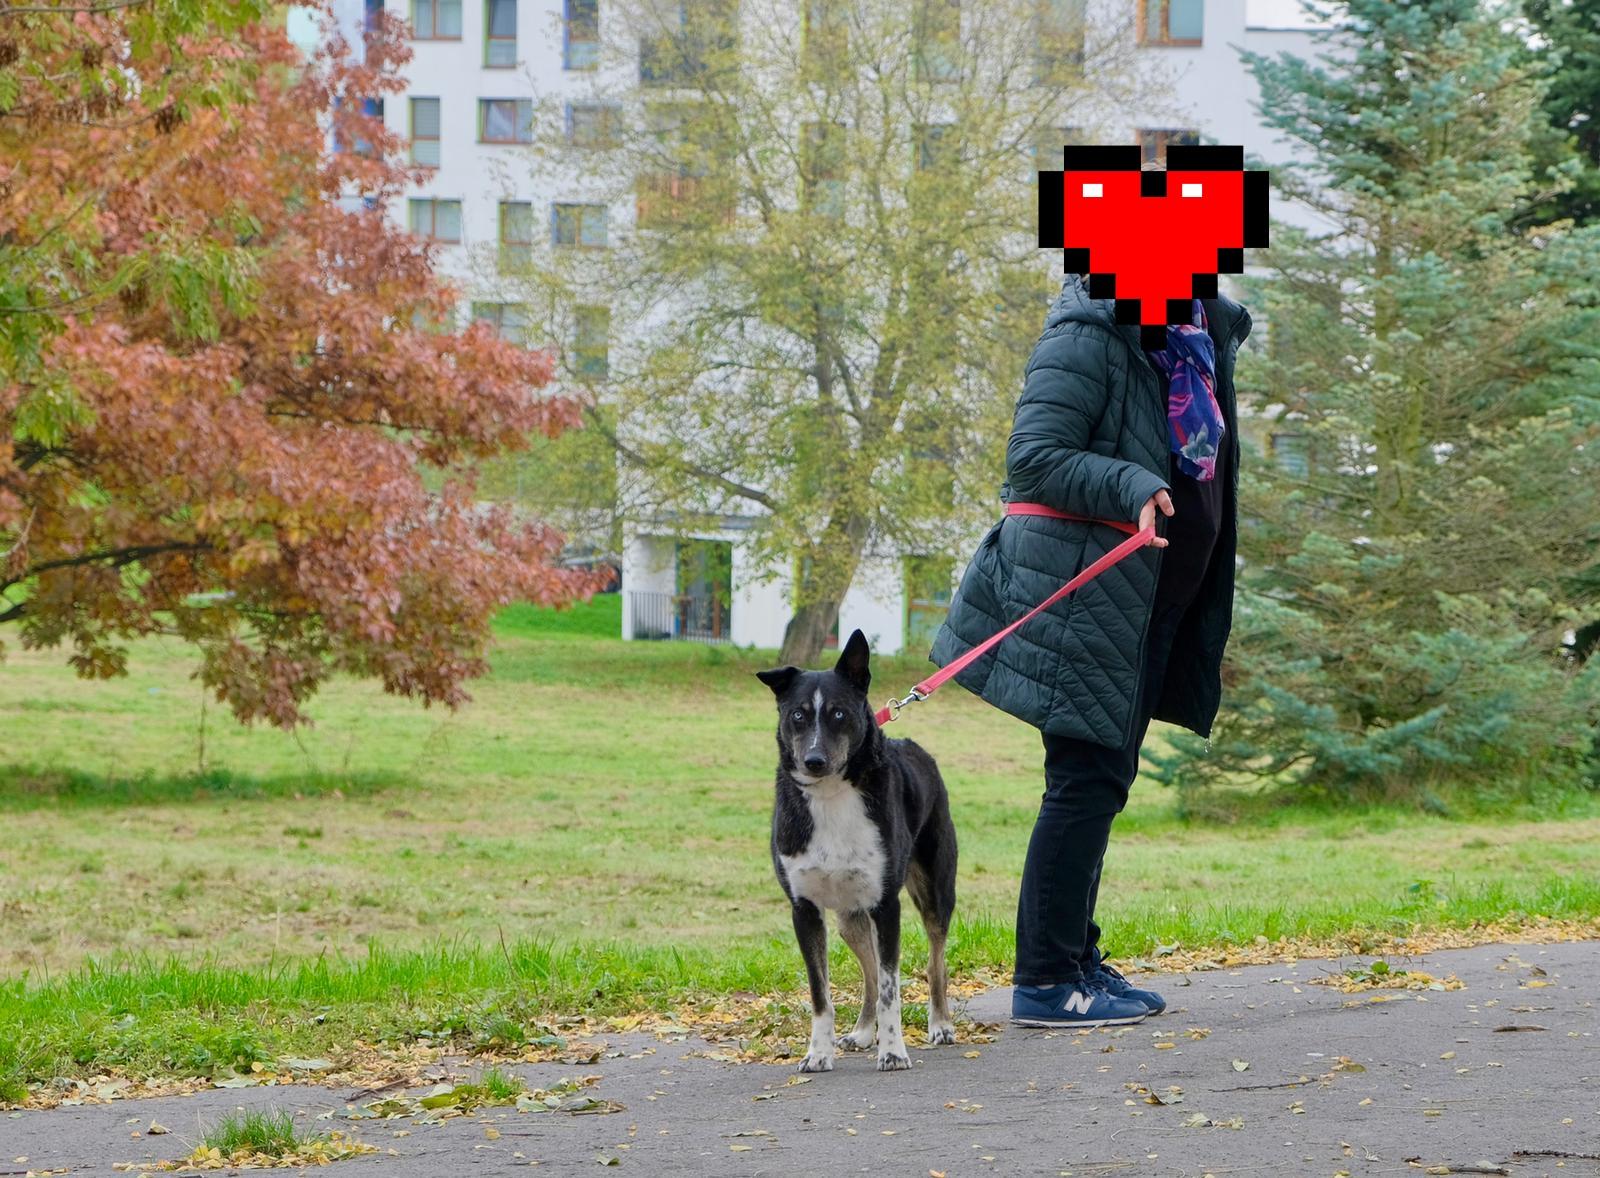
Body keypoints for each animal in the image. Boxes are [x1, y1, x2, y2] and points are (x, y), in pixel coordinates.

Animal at [757, 629, 958, 1073]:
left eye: (838, 714)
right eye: (797, 715)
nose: (814, 761)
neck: (831, 796)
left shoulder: (887, 905)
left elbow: (890, 988)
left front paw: (894, 1051)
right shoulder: (804, 909)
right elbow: (822, 992)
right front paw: (818, 1052)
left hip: (935, 891)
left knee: (934, 960)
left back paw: (940, 1024)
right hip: (850, 916)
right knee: (867, 967)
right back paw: (864, 1032)